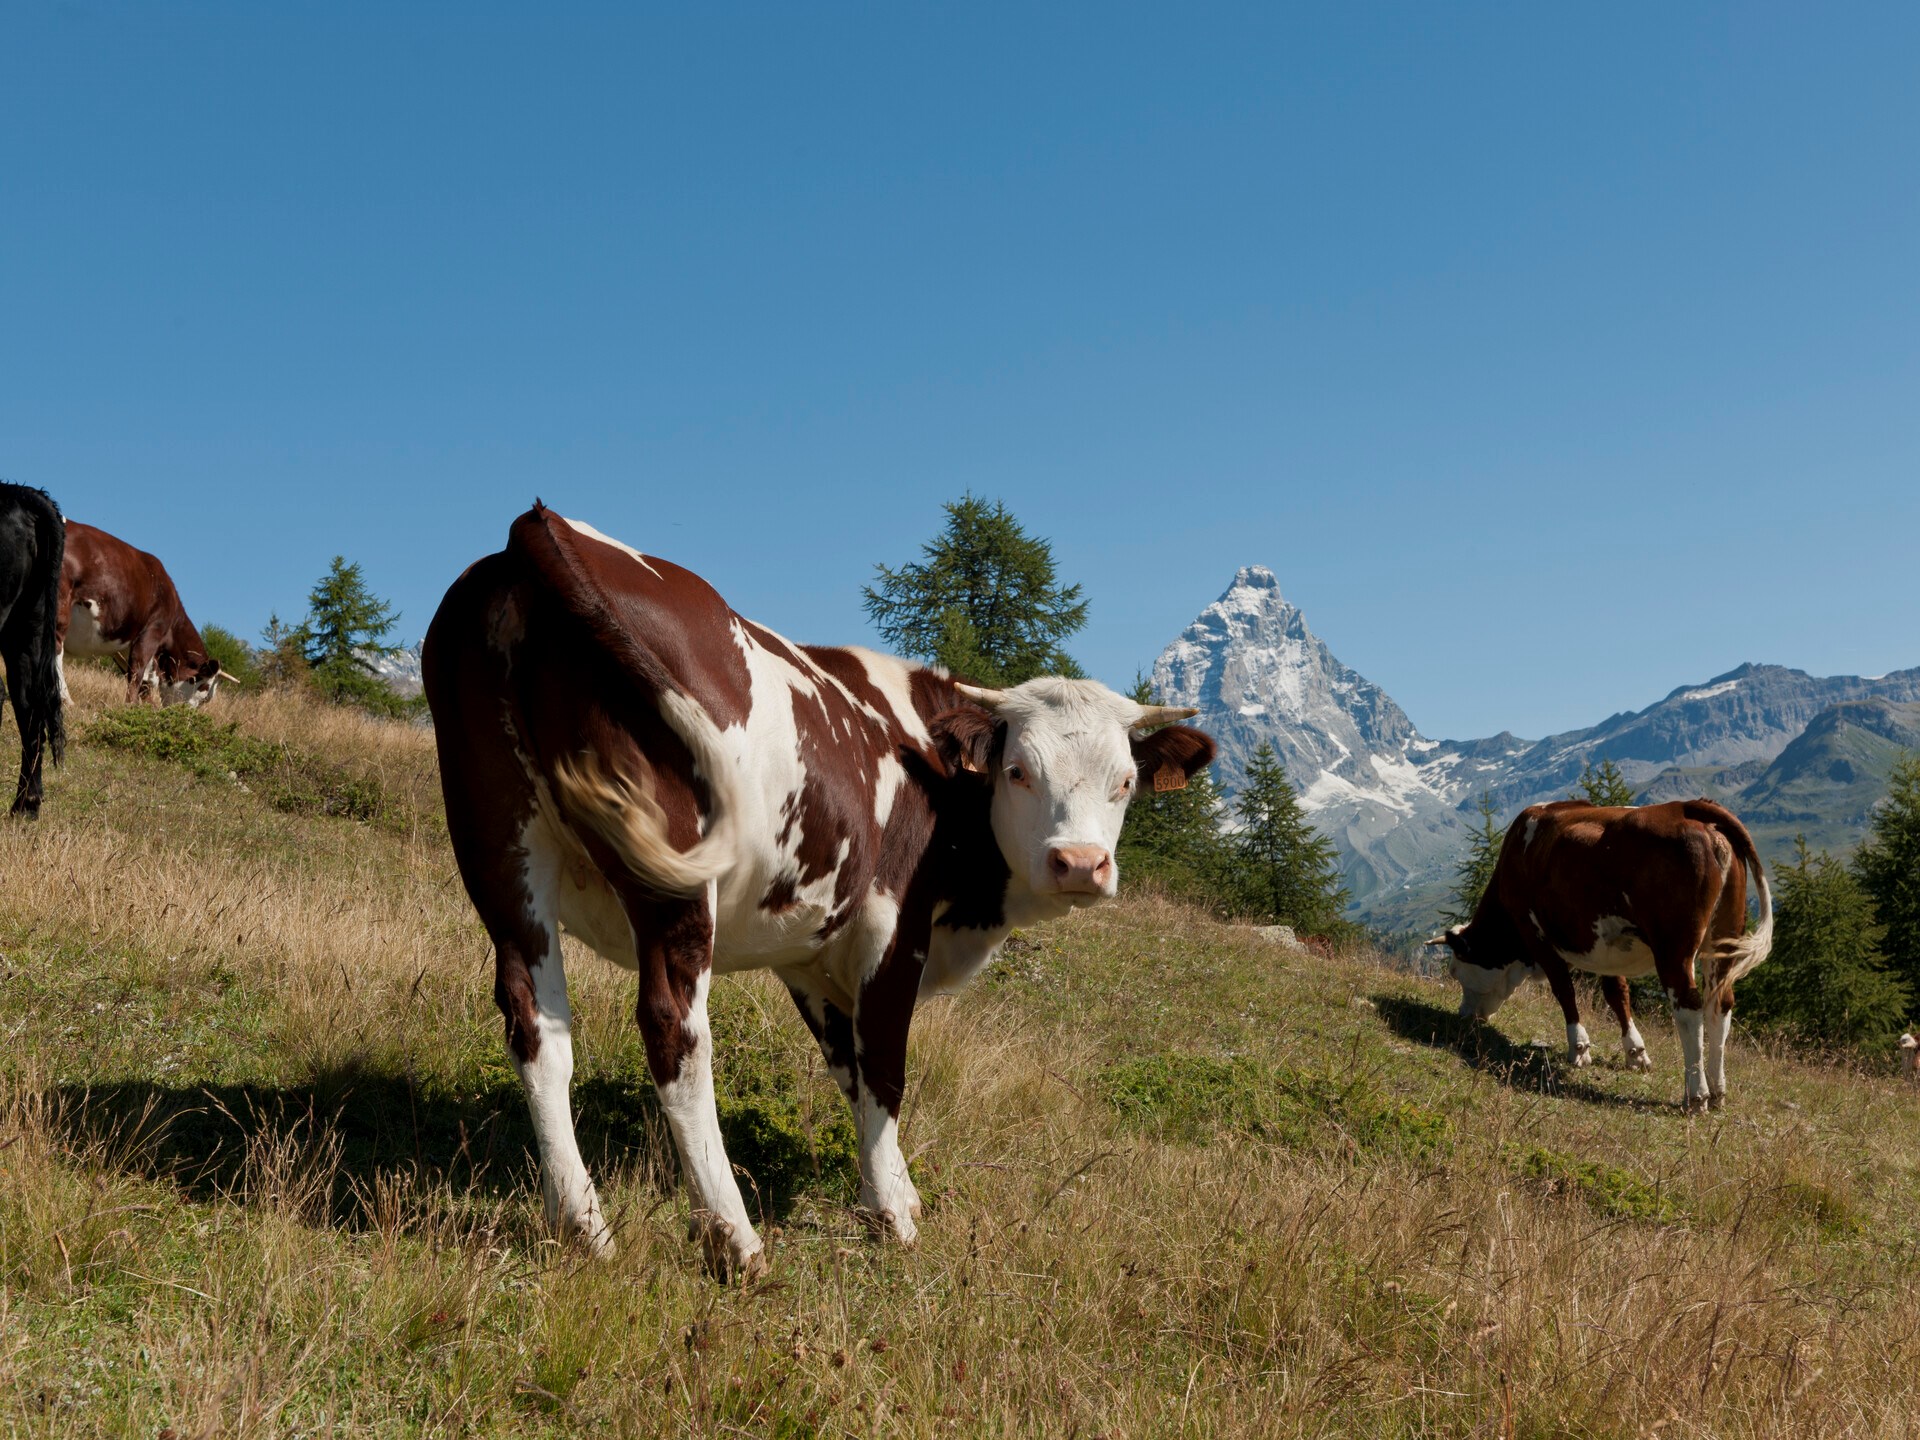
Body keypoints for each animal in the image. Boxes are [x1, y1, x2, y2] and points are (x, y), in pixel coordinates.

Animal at [428, 506, 1221, 1282]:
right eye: (1019, 771)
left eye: (1125, 781)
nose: (1080, 864)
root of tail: (541, 527)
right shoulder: (894, 927)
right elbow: (886, 1068)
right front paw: (893, 1218)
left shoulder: (810, 951)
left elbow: (851, 1067)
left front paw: (894, 1189)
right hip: (671, 880)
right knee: (674, 1030)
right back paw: (734, 1239)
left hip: (501, 848)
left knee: (537, 1023)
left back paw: (581, 1227)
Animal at [1436, 802, 1774, 1113]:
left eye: (1455, 971)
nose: (1464, 1015)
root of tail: (1686, 807)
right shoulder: (1609, 948)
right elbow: (1617, 993)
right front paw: (1635, 1053)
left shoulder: (1535, 932)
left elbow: (1564, 990)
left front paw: (1579, 1048)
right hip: (1723, 938)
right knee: (1720, 1005)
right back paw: (1717, 1092)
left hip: (1673, 948)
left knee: (1689, 1008)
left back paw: (1696, 1095)